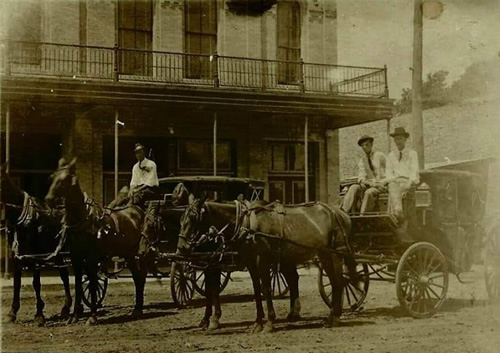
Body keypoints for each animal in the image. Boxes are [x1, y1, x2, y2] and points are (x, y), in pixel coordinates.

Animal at [0, 162, 72, 324]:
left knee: (68, 276)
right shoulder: (17, 256)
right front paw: (12, 312)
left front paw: (39, 314)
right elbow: (17, 283)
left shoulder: (36, 256)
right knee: (64, 275)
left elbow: (36, 283)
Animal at [45, 158, 147, 324]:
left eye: (65, 180)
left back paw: (138, 309)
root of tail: (137, 210)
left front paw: (92, 316)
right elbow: (78, 285)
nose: (49, 200)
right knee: (138, 277)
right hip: (128, 254)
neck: (82, 221)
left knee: (140, 277)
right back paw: (137, 309)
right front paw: (74, 315)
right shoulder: (76, 258)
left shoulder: (92, 258)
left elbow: (92, 284)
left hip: (136, 253)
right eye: (52, 177)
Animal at [176, 197, 352, 332]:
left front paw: (269, 322)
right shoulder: (249, 263)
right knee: (323, 281)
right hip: (321, 255)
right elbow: (256, 289)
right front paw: (258, 322)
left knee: (338, 282)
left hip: (334, 254)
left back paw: (333, 318)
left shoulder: (262, 261)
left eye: (193, 218)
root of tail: (338, 211)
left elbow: (266, 288)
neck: (245, 223)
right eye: (181, 219)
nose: (181, 248)